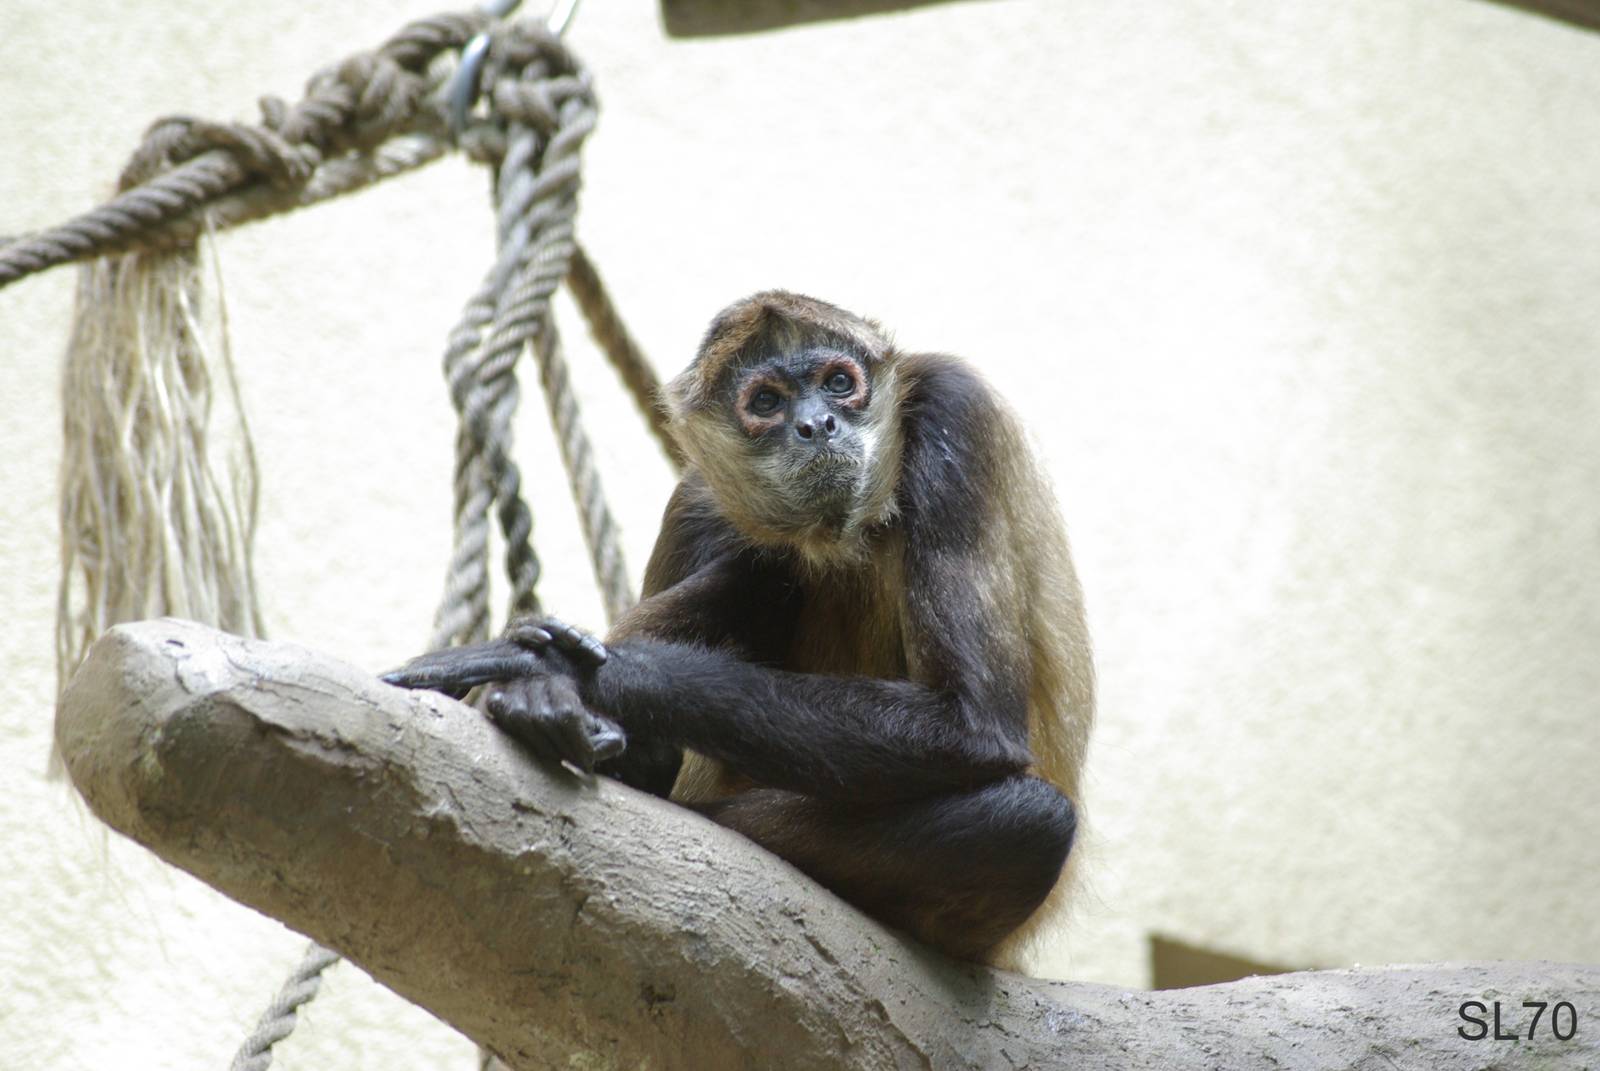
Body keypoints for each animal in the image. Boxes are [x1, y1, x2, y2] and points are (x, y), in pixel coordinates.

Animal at [384, 291, 1094, 969]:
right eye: (767, 402)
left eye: (840, 383)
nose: (816, 425)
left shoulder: (954, 409)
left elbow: (974, 725)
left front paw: (561, 673)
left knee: (1032, 820)